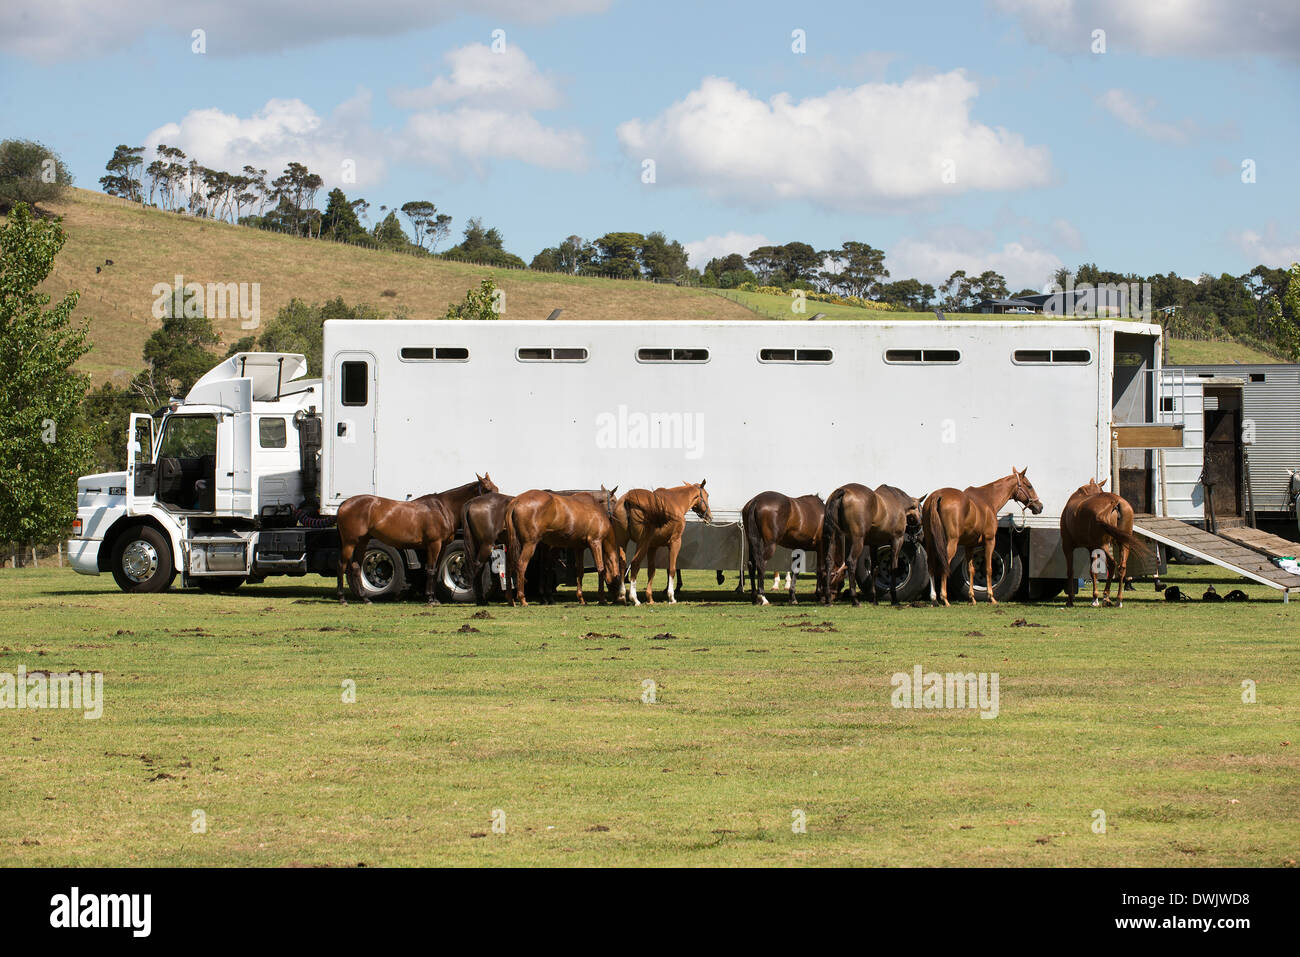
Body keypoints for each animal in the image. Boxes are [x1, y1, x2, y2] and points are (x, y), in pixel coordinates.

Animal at [336, 474, 497, 605]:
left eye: (496, 488)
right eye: (487, 489)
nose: (496, 505)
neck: (443, 509)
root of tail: (345, 504)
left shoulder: (443, 545)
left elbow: (436, 569)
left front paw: (434, 598)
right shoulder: (434, 544)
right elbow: (431, 569)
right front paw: (430, 599)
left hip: (362, 541)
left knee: (356, 566)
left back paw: (365, 598)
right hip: (349, 542)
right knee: (342, 565)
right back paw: (342, 598)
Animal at [922, 468, 1044, 607]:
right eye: (1029, 486)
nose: (1040, 506)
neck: (988, 500)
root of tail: (938, 495)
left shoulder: (969, 545)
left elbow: (971, 569)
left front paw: (972, 598)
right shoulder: (990, 541)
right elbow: (988, 568)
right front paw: (991, 597)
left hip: (931, 541)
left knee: (931, 565)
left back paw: (933, 598)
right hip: (951, 542)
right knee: (944, 564)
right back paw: (944, 598)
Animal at [1061, 477, 1144, 608]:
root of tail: (1116, 502)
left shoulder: (1067, 546)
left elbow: (1071, 571)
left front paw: (1072, 599)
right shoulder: (1091, 547)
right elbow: (1093, 571)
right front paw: (1095, 597)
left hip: (1102, 545)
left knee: (1112, 563)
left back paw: (1105, 597)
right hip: (1123, 543)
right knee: (1121, 567)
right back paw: (1117, 599)